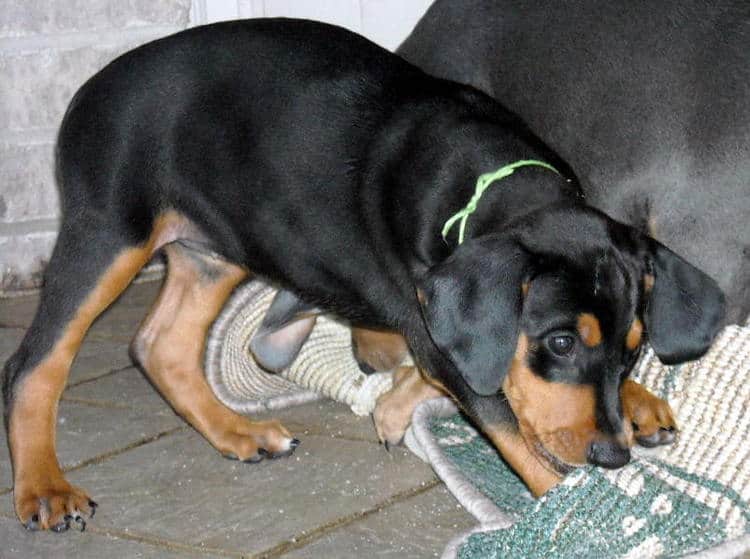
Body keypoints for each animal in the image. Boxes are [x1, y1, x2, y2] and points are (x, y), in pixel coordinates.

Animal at [2, 18, 724, 532]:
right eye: (560, 342)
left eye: (634, 352)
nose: (612, 456)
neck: (491, 182)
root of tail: (89, 90)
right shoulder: (442, 333)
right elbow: (512, 426)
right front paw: (581, 506)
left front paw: (640, 402)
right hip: (107, 231)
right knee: (34, 363)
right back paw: (46, 487)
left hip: (215, 248)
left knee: (159, 345)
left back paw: (239, 433)